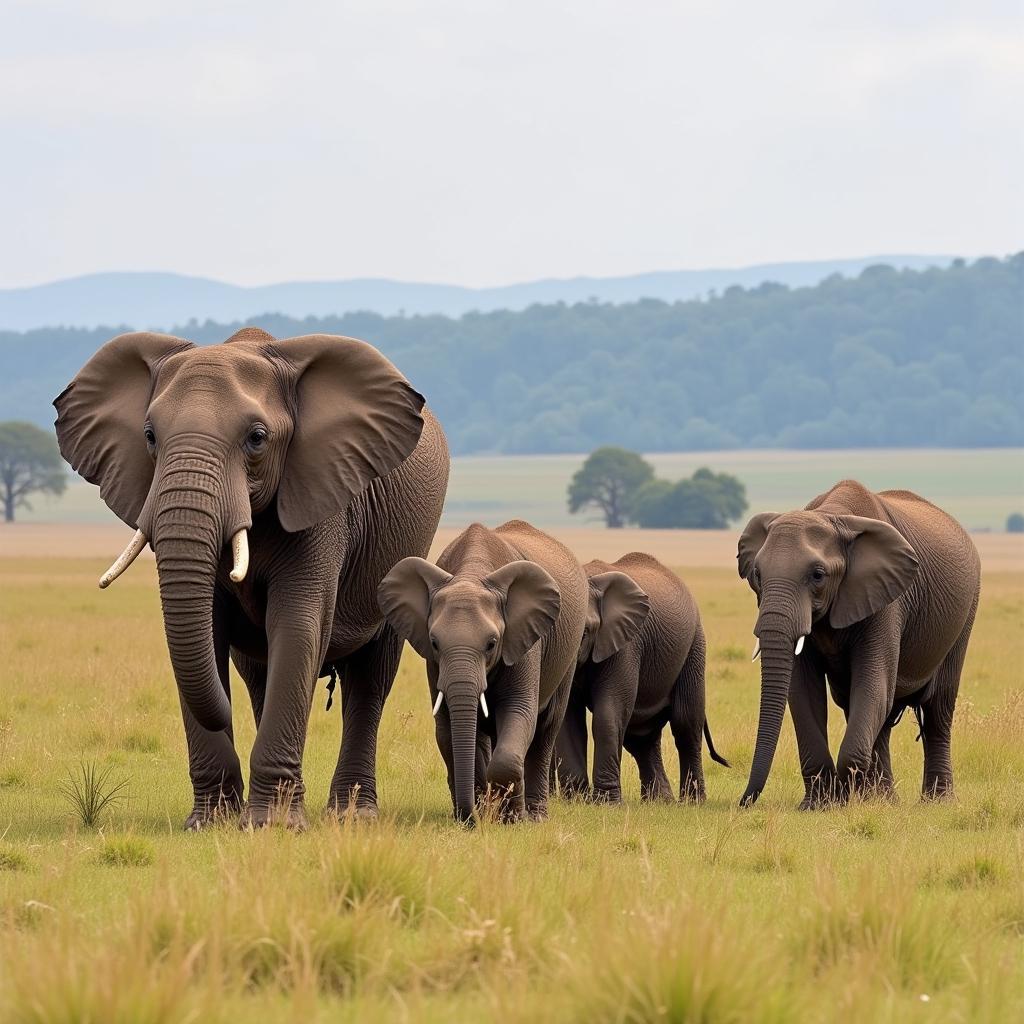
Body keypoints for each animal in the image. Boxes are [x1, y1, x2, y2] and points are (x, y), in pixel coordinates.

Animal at [55, 327, 448, 831]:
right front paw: (210, 824)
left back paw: (352, 817)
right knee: (258, 676)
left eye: (257, 439)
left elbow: (298, 627)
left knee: (370, 681)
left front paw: (274, 827)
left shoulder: (321, 498)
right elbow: (208, 631)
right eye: (149, 436)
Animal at [376, 520, 585, 823]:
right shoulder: (434, 664)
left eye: (492, 644)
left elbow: (519, 712)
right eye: (435, 643)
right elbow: (448, 731)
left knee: (546, 728)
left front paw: (510, 820)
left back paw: (534, 816)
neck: (472, 573)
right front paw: (479, 815)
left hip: (568, 655)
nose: (471, 818)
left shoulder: (523, 641)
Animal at [552, 557, 729, 802]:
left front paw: (606, 803)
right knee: (641, 736)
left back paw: (692, 802)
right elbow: (568, 719)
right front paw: (577, 801)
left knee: (685, 725)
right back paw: (661, 802)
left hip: (694, 647)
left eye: (585, 631)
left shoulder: (626, 645)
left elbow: (608, 714)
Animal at [737, 477, 983, 806]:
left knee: (937, 710)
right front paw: (819, 804)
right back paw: (884, 799)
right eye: (757, 574)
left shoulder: (887, 598)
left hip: (965, 614)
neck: (832, 516)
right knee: (875, 711)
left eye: (818, 575)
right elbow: (802, 690)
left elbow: (873, 681)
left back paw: (935, 801)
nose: (743, 801)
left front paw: (844, 798)